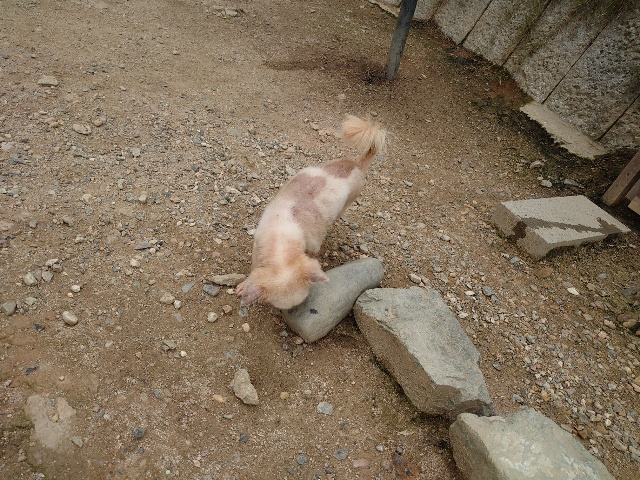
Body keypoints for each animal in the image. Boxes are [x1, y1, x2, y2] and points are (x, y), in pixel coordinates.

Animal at [236, 115, 386, 310]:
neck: (280, 240)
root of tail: (358, 165)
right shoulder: (258, 246)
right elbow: (253, 268)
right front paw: (244, 286)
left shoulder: (312, 247)